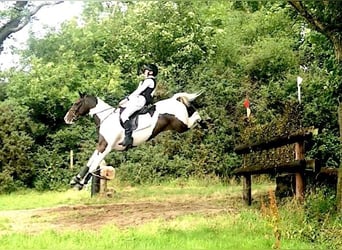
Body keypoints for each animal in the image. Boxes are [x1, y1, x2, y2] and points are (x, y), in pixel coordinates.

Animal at [63, 91, 204, 189]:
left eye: (76, 103)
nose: (66, 119)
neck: (106, 118)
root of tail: (174, 101)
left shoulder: (106, 147)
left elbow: (93, 165)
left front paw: (80, 183)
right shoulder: (102, 145)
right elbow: (90, 162)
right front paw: (76, 179)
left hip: (182, 125)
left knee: (194, 117)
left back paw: (204, 122)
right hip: (180, 125)